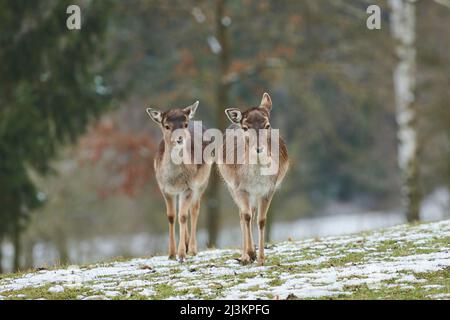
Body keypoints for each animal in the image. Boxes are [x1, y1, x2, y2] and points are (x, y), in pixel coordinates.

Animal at [147, 101, 212, 262]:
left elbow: (183, 216)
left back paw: (192, 249)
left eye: (185, 124)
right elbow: (171, 216)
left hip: (203, 182)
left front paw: (181, 254)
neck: (174, 179)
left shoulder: (188, 187)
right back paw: (188, 244)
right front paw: (171, 253)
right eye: (166, 126)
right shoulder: (164, 189)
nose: (180, 138)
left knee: (194, 210)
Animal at [217, 92, 288, 264]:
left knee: (252, 213)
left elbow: (261, 220)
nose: (258, 149)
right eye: (245, 127)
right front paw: (250, 253)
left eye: (267, 125)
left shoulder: (269, 189)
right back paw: (244, 256)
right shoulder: (239, 187)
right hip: (230, 187)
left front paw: (261, 258)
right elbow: (246, 216)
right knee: (242, 215)